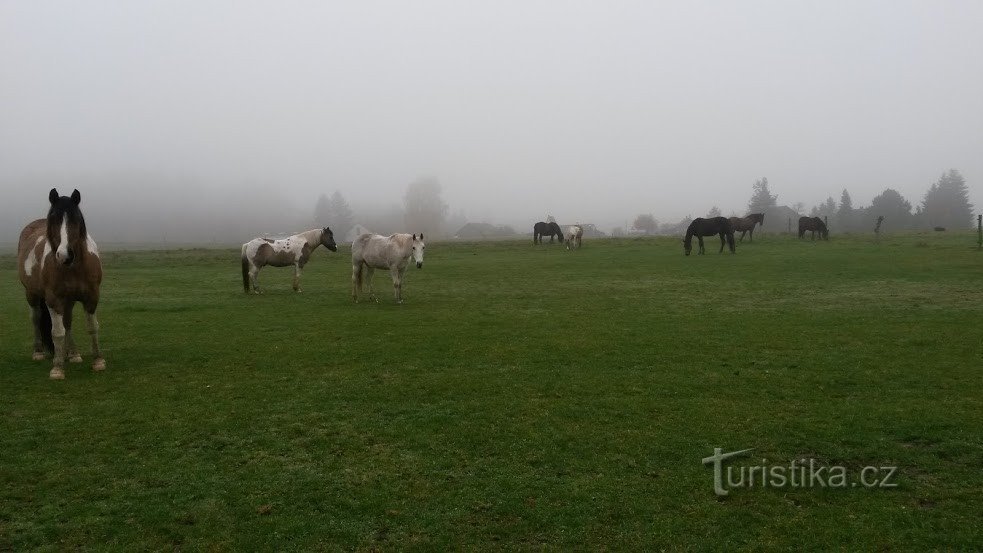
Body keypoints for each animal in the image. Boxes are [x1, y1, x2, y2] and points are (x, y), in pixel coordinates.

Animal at [16, 188, 104, 378]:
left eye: (76, 219)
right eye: (54, 219)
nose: (65, 255)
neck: (74, 267)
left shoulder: (92, 297)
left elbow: (92, 327)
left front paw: (98, 361)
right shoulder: (53, 300)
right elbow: (57, 333)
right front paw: (57, 368)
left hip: (68, 300)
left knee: (67, 322)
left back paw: (72, 354)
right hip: (31, 295)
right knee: (36, 319)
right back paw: (39, 352)